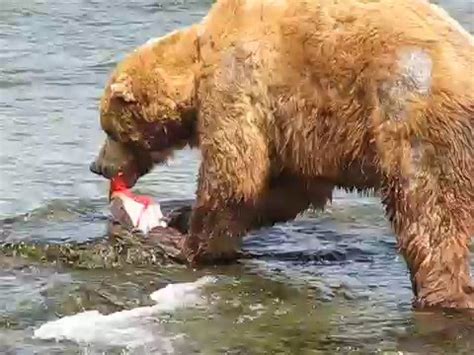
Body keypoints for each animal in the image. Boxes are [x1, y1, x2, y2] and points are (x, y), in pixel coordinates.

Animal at [88, 0, 470, 310]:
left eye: (109, 129)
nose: (97, 165)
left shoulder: (237, 85)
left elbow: (235, 175)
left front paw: (185, 242)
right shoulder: (298, 133)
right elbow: (289, 188)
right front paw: (179, 216)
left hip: (411, 117)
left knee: (428, 214)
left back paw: (440, 294)